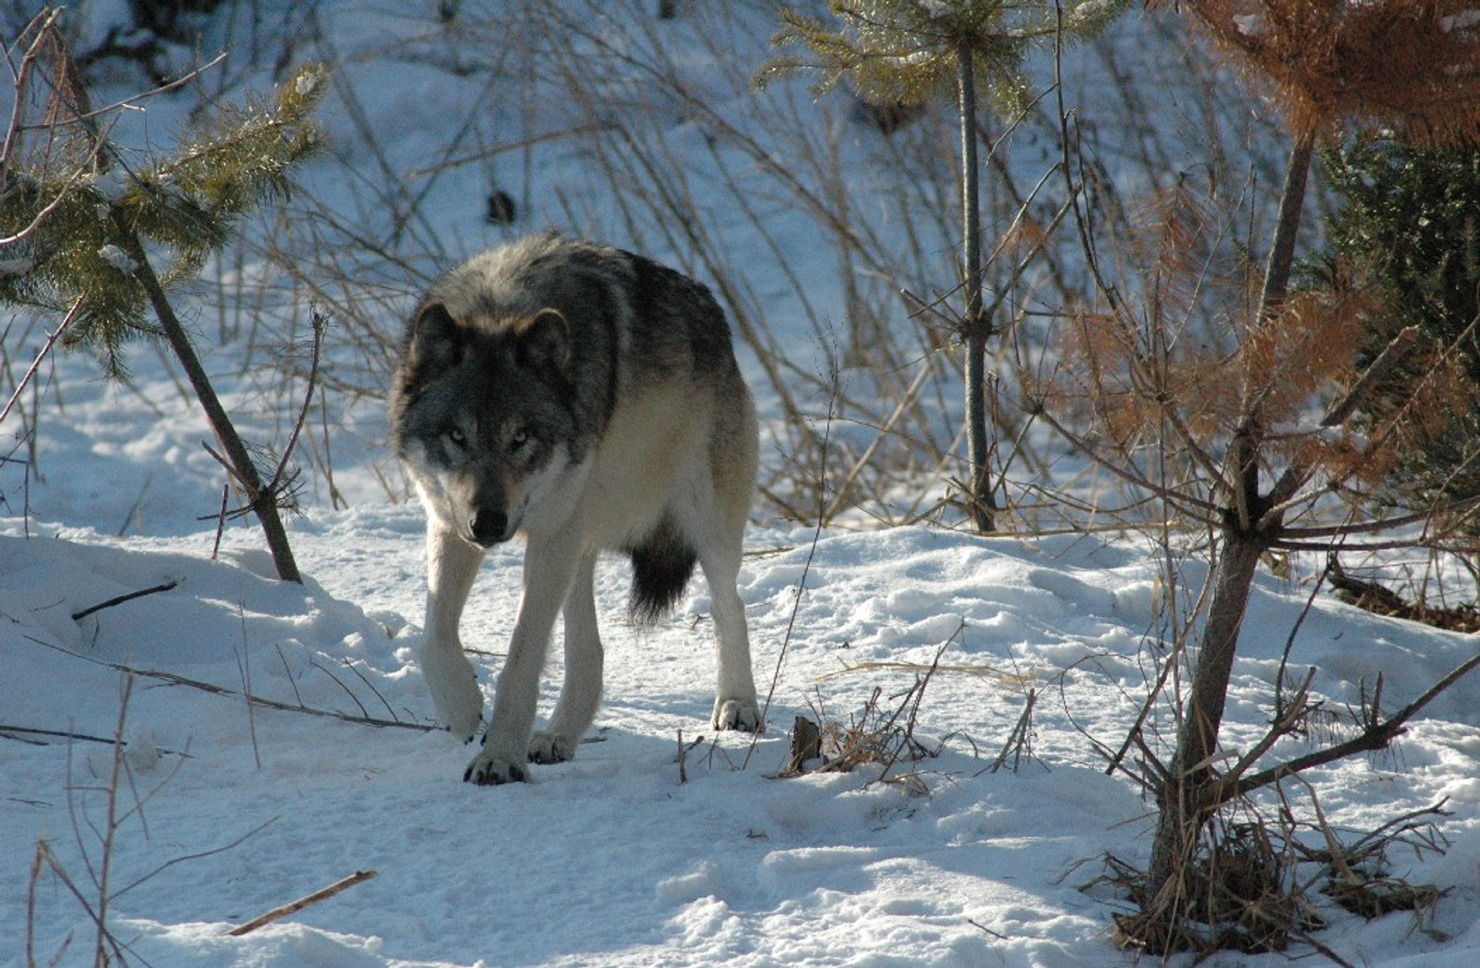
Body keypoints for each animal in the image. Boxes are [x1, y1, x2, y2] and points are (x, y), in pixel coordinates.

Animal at [389, 234, 763, 785]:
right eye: (457, 435)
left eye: (521, 437)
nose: (490, 523)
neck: (502, 303)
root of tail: (714, 312)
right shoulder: (450, 523)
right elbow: (434, 634)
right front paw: (461, 710)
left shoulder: (546, 534)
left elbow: (522, 657)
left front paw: (499, 757)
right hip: (576, 536)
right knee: (588, 648)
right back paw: (558, 736)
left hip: (700, 522)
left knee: (728, 605)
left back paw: (738, 705)